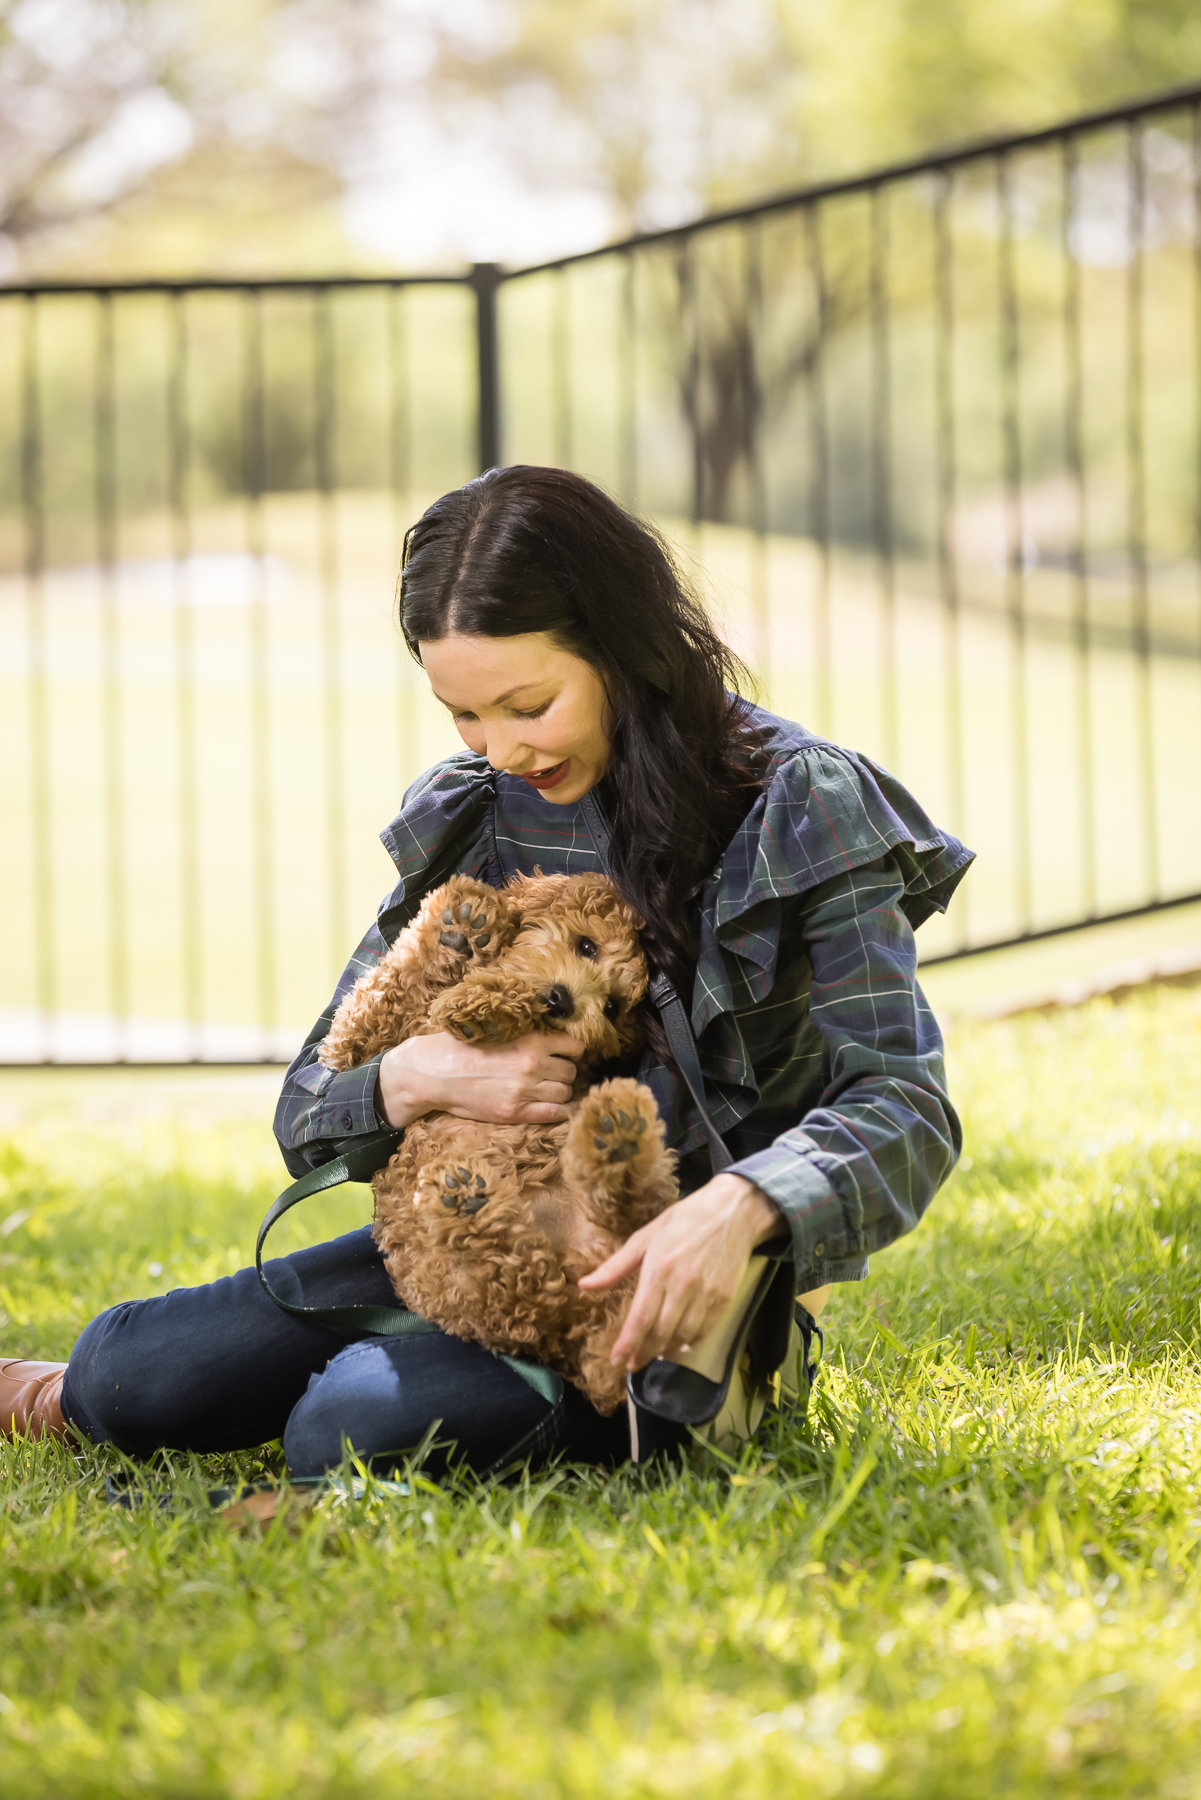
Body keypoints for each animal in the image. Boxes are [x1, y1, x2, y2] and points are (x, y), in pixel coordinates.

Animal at [318, 874, 677, 1418]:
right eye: (586, 945)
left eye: (613, 1006)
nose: (562, 1000)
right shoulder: (360, 1046)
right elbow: (388, 988)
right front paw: (465, 926)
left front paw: (482, 999)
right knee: (525, 1279)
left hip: (469, 1287)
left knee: (519, 1280)